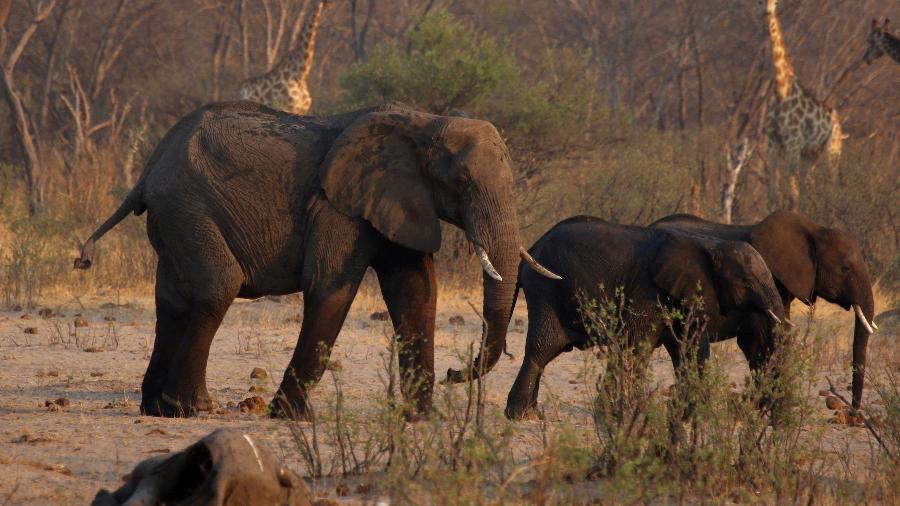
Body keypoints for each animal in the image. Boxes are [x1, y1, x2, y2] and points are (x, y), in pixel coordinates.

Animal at [75, 102, 556, 420]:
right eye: (462, 182)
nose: (458, 373)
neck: (425, 121)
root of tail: (148, 170)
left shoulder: (398, 200)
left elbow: (416, 292)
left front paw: (421, 420)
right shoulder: (337, 206)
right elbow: (330, 288)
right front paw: (290, 417)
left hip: (173, 217)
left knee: (172, 299)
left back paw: (156, 409)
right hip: (187, 207)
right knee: (217, 287)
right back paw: (192, 409)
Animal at [506, 216, 788, 420]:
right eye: (748, 282)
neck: (708, 244)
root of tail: (530, 249)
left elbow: (692, 349)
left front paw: (692, 415)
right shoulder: (647, 291)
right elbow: (635, 347)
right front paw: (617, 415)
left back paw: (529, 414)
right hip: (545, 288)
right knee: (543, 348)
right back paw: (521, 416)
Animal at [760, 0, 844, 208]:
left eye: (775, 2)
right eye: (760, 1)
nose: (767, 12)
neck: (781, 90)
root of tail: (839, 122)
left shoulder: (793, 142)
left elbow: (793, 195)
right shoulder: (773, 140)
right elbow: (773, 194)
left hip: (832, 150)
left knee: (831, 186)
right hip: (811, 154)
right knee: (808, 185)